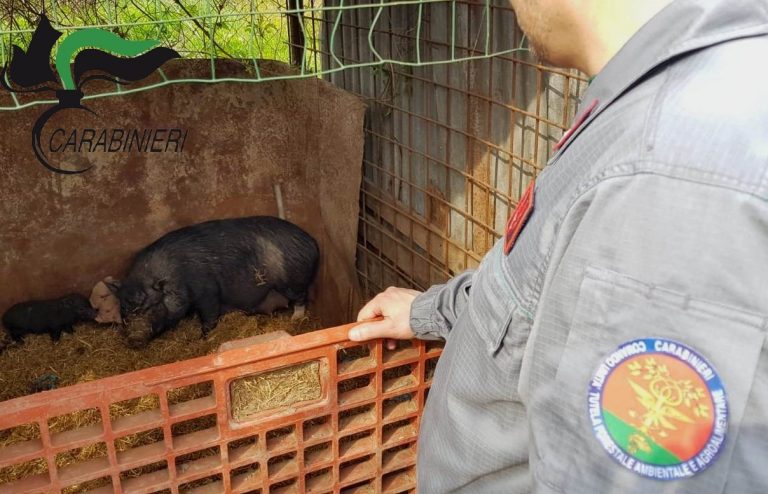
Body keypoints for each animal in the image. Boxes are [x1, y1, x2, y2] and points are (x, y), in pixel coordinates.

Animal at [110, 216, 319, 342]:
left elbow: (209, 314)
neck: (178, 275)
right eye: (124, 308)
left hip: (292, 281)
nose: (134, 337)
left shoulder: (207, 291)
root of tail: (311, 241)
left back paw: (296, 318)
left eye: (152, 305)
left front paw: (204, 337)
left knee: (301, 297)